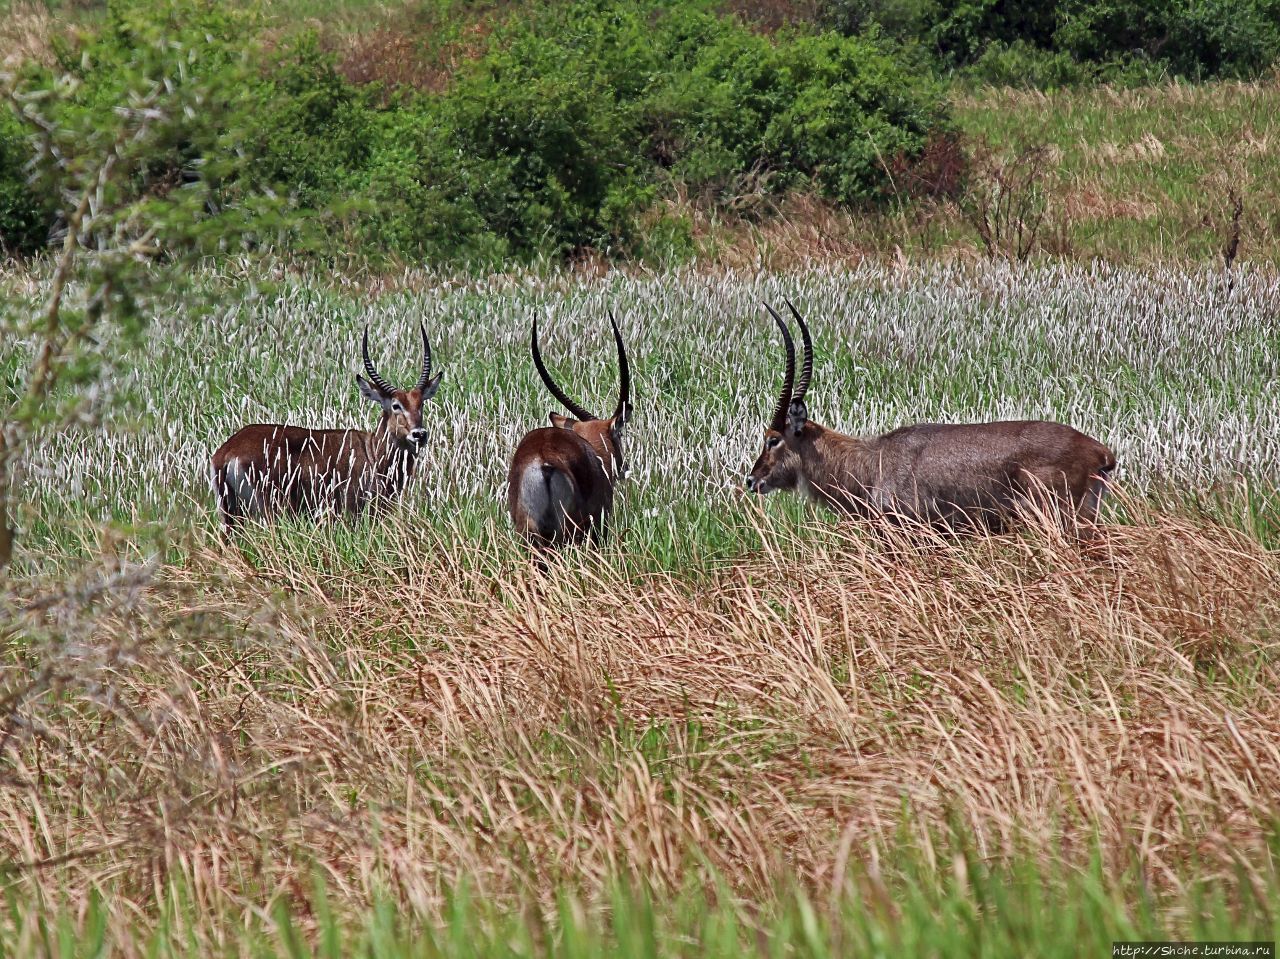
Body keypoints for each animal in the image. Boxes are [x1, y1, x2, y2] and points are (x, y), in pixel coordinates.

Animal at [212, 325, 442, 527]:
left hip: (231, 516)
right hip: (270, 511)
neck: (373, 452)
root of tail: (227, 451)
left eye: (421, 403)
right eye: (396, 405)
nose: (419, 434)